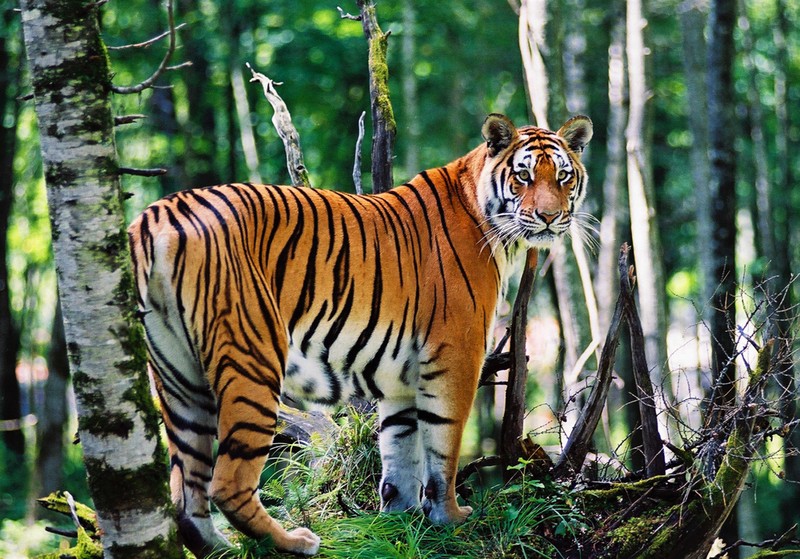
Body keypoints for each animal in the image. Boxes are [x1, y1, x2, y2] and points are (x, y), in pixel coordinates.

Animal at [128, 113, 593, 557]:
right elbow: (443, 442)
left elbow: (400, 445)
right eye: (524, 176)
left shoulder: (402, 376)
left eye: (563, 176)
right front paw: (450, 517)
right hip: (252, 358)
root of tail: (161, 213)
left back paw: (218, 548)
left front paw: (399, 519)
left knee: (186, 492)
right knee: (228, 482)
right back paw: (293, 542)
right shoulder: (456, 353)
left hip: (179, 377)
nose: (550, 217)